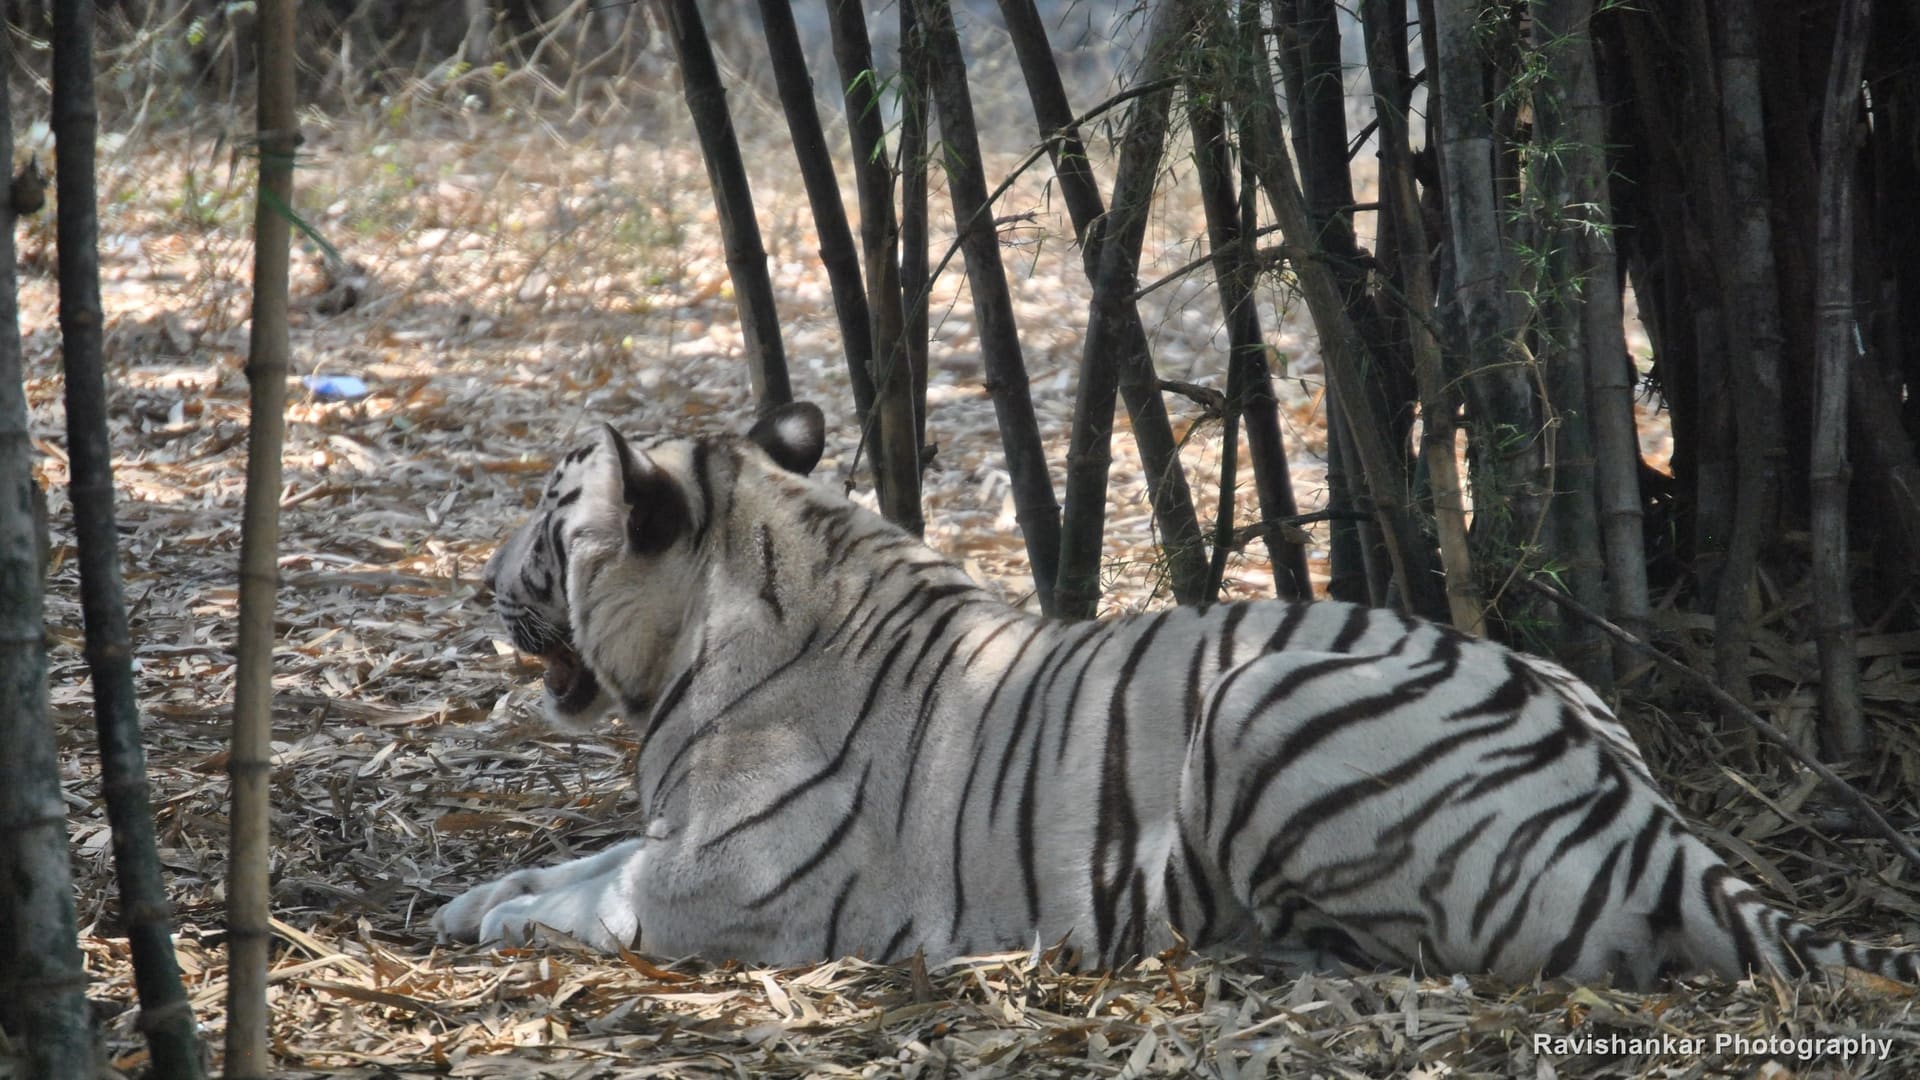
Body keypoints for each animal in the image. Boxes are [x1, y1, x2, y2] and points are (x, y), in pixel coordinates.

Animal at [434, 401, 1918, 988]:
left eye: (548, 518)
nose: (475, 581)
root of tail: (1662, 834)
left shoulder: (726, 885)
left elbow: (599, 895)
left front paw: (493, 920)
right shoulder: (674, 839)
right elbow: (582, 858)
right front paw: (469, 897)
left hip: (1259, 710)